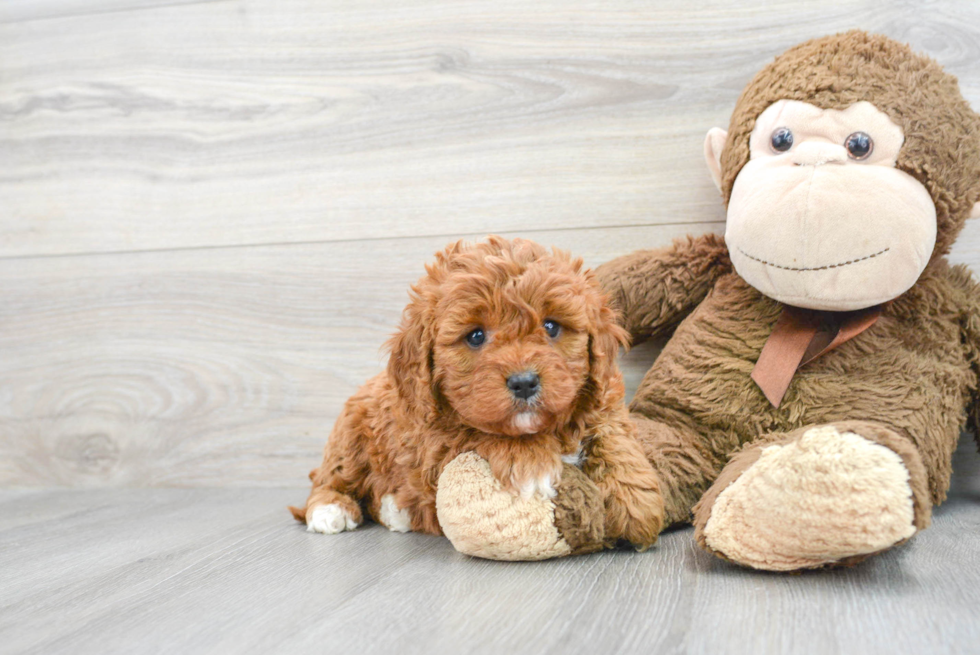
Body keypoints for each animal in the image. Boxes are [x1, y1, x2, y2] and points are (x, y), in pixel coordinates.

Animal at [288, 236, 664, 548]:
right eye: (475, 336)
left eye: (551, 326)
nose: (524, 382)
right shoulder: (434, 446)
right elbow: (481, 432)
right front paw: (532, 463)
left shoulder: (604, 398)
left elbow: (614, 437)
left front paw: (636, 502)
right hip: (349, 439)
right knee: (329, 480)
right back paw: (331, 510)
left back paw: (397, 510)